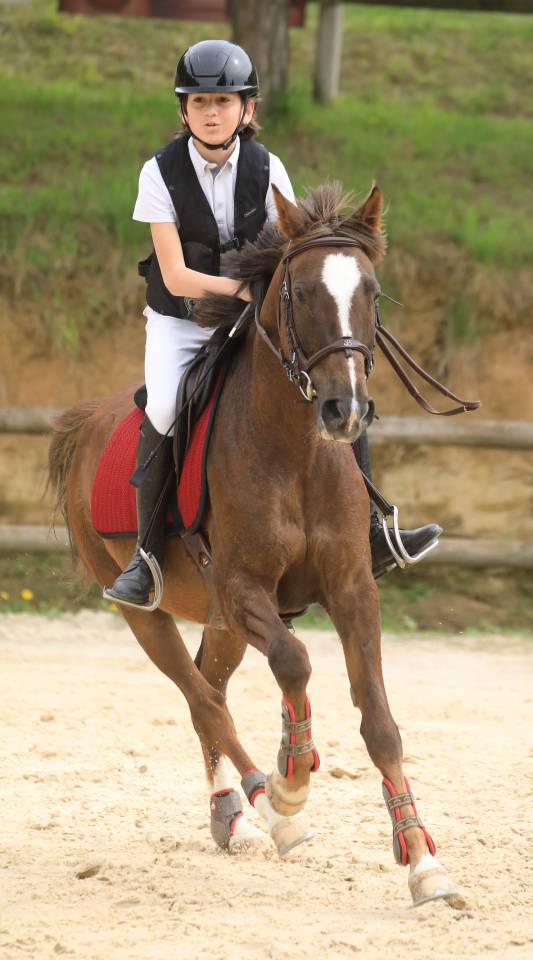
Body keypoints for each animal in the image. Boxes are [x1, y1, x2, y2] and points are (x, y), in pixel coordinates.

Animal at [48, 182, 465, 908]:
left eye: (372, 292)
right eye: (299, 292)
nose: (344, 411)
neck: (293, 450)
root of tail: (87, 421)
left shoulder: (352, 590)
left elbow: (380, 725)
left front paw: (422, 862)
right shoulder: (244, 589)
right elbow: (295, 662)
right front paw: (292, 780)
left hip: (220, 621)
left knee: (207, 691)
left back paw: (233, 817)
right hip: (145, 611)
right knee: (202, 698)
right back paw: (270, 809)